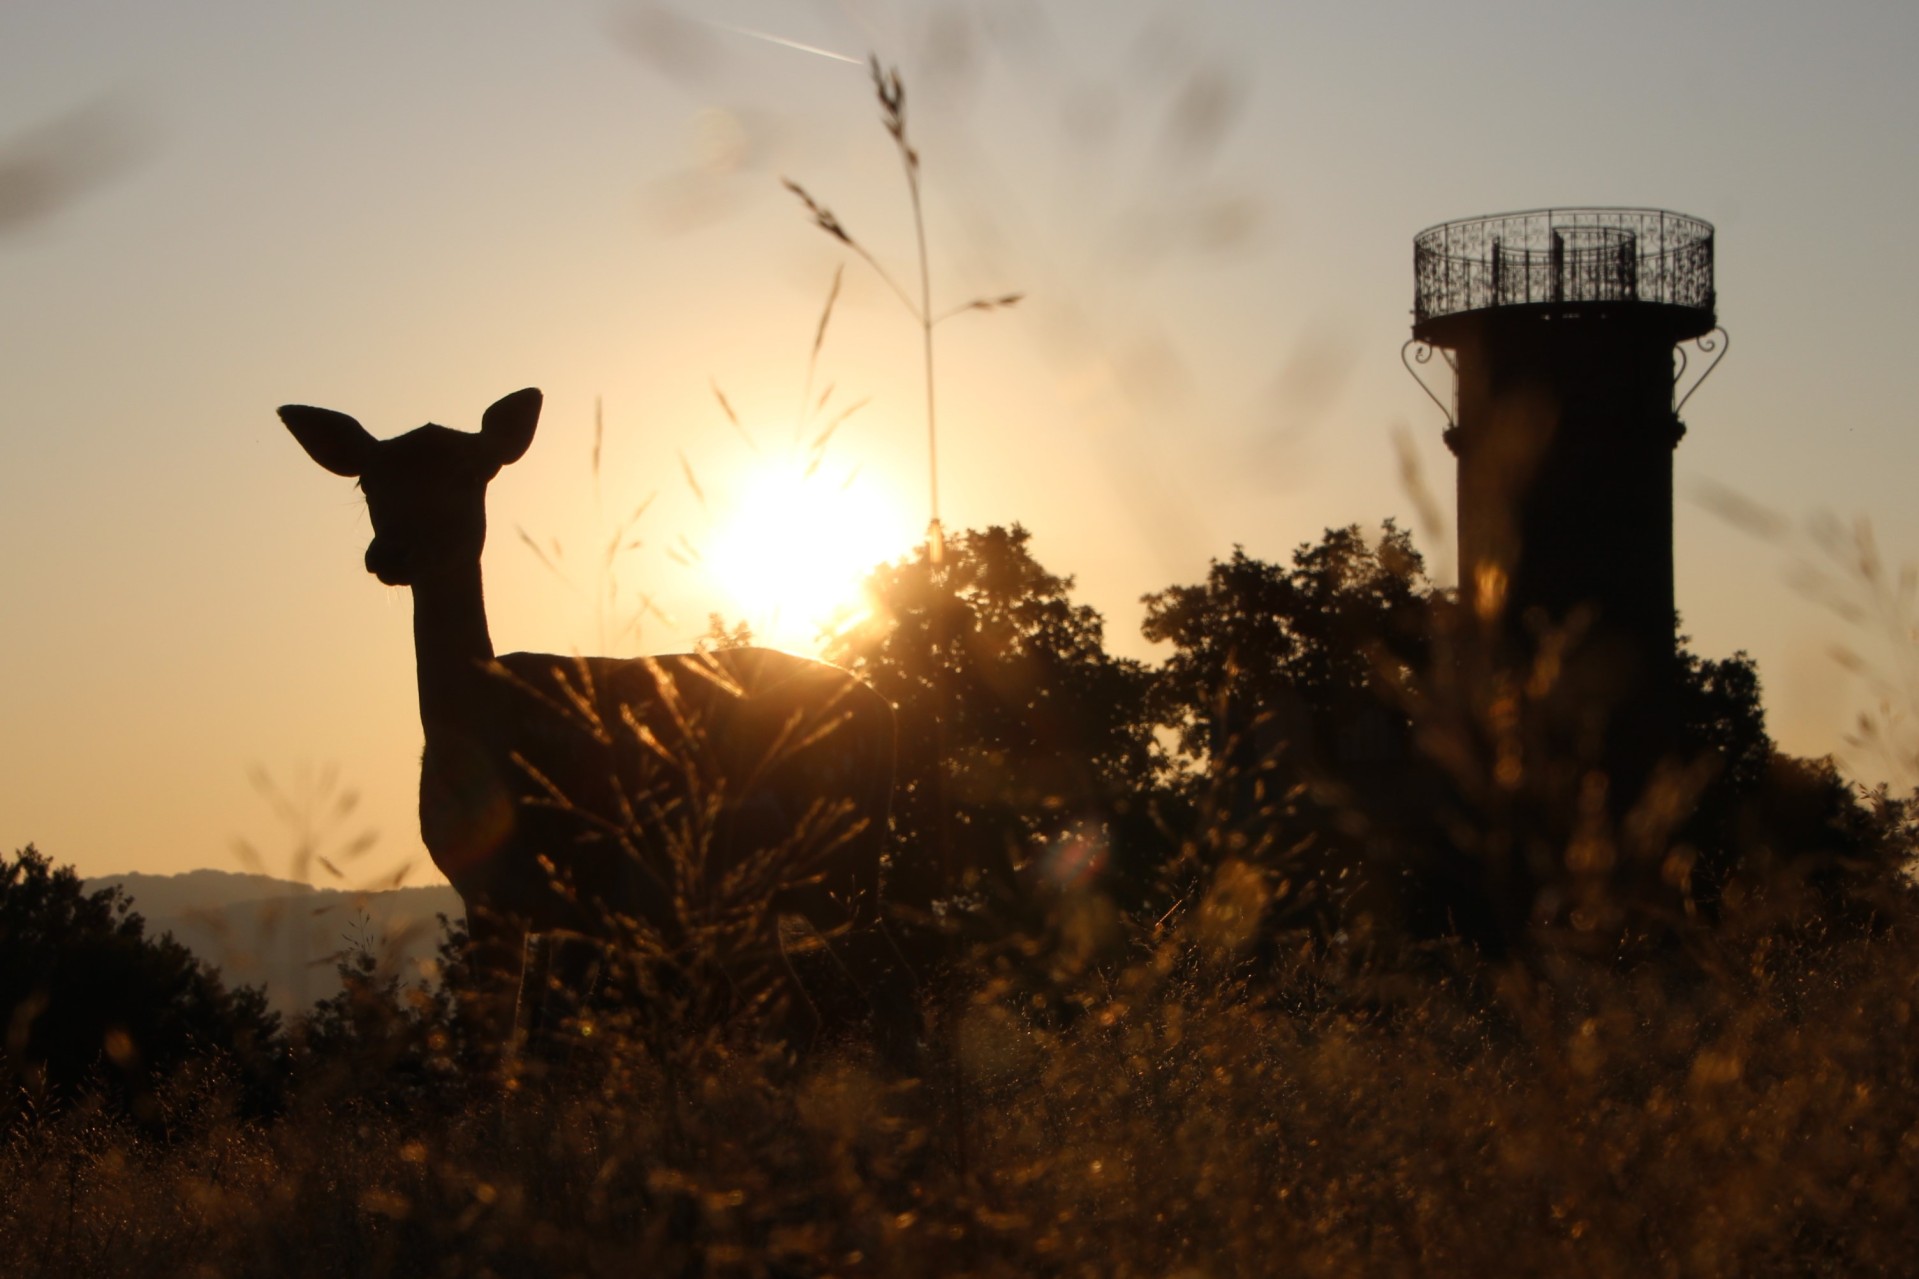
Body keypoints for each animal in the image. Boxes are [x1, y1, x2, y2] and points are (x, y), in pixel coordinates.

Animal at [280, 387, 903, 1054]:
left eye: (467, 471)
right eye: (368, 480)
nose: (393, 553)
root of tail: (883, 714)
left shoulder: (538, 889)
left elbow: (512, 1044)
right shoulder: (540, 906)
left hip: (772, 868)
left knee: (828, 1006)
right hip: (810, 882)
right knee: (869, 996)